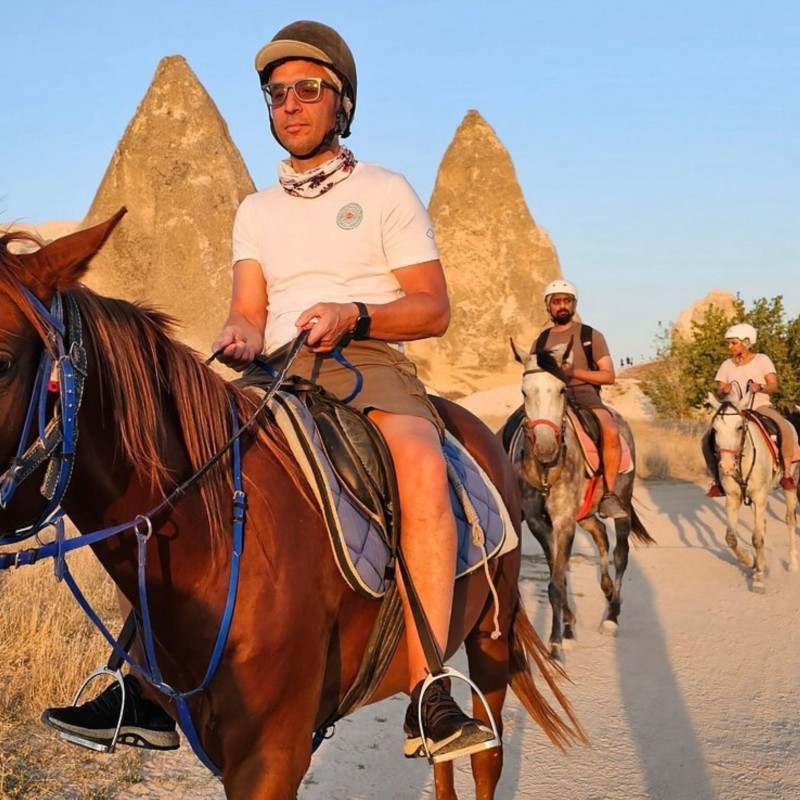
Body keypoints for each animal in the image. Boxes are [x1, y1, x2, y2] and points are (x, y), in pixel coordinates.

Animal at [504, 340, 654, 658]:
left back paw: (612, 616)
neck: (547, 470)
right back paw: (606, 589)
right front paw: (568, 627)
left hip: (621, 502)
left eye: (562, 389)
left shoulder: (563, 521)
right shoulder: (538, 523)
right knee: (600, 535)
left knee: (621, 553)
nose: (546, 448)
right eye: (525, 392)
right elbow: (557, 576)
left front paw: (556, 642)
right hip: (584, 514)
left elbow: (557, 581)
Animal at [706, 393, 799, 591]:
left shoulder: (760, 496)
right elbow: (731, 538)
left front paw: (759, 579)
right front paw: (751, 561)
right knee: (763, 524)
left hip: (791, 485)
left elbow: (757, 538)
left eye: (739, 427)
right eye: (715, 429)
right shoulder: (734, 498)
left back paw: (793, 564)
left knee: (790, 520)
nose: (726, 466)